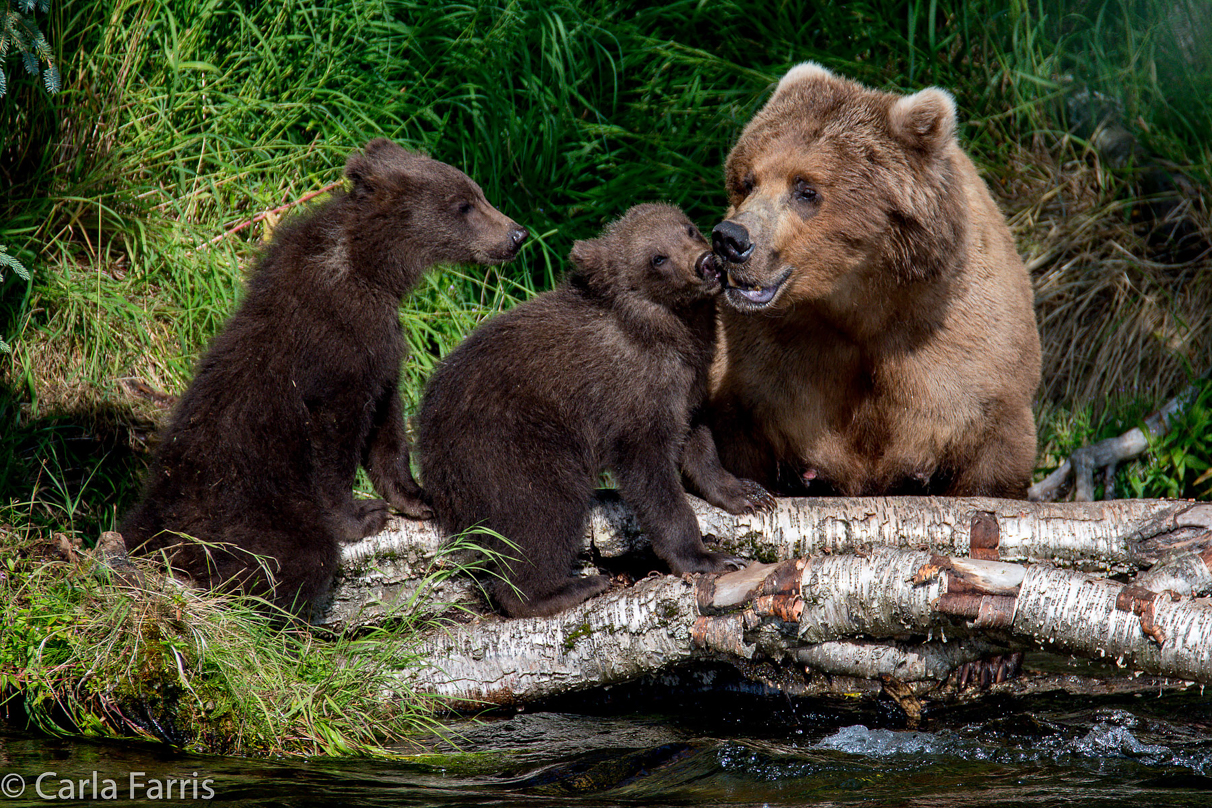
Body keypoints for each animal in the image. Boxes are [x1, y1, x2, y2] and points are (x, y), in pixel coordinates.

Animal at [707, 63, 1042, 499]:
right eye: (747, 180)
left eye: (806, 189)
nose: (731, 239)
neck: (861, 305)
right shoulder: (767, 361)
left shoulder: (964, 352)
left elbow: (992, 451)